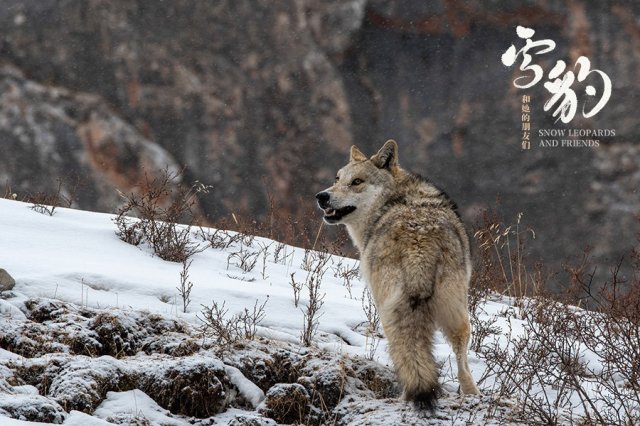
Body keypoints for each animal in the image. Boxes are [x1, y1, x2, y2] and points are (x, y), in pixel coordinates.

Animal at [316, 140, 480, 410]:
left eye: (357, 182)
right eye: (337, 178)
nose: (322, 196)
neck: (392, 200)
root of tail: (420, 240)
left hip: (389, 310)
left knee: (404, 350)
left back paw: (406, 396)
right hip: (457, 311)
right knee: (461, 358)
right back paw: (471, 393)